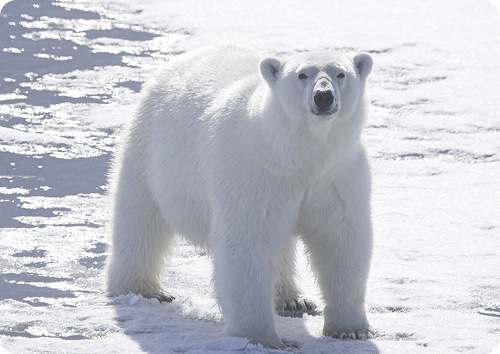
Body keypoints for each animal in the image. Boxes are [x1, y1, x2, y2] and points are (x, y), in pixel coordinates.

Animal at [105, 45, 374, 348]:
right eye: (302, 74)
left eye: (340, 73)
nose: (324, 96)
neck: (294, 154)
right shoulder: (253, 172)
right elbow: (248, 241)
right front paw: (265, 338)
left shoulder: (336, 175)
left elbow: (341, 239)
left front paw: (350, 329)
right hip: (149, 151)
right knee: (140, 220)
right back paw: (143, 289)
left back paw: (292, 299)